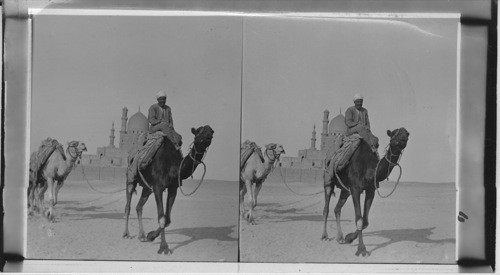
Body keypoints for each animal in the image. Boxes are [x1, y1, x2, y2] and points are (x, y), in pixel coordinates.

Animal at [123, 126, 215, 256]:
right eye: (199, 131)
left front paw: (151, 235)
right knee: (128, 205)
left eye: (212, 131)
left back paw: (142, 235)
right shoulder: (158, 187)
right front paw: (164, 247)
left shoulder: (173, 188)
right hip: (131, 176)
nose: (208, 134)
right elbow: (161, 218)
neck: (172, 167)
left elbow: (168, 219)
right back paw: (126, 234)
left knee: (139, 207)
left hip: (147, 187)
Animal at [322, 128, 408, 258]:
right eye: (394, 133)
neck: (369, 168)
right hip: (328, 179)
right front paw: (361, 249)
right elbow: (359, 220)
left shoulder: (370, 190)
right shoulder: (355, 189)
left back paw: (340, 237)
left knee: (337, 209)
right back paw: (325, 236)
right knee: (326, 208)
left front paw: (349, 237)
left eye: (407, 133)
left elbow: (365, 221)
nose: (404, 136)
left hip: (345, 190)